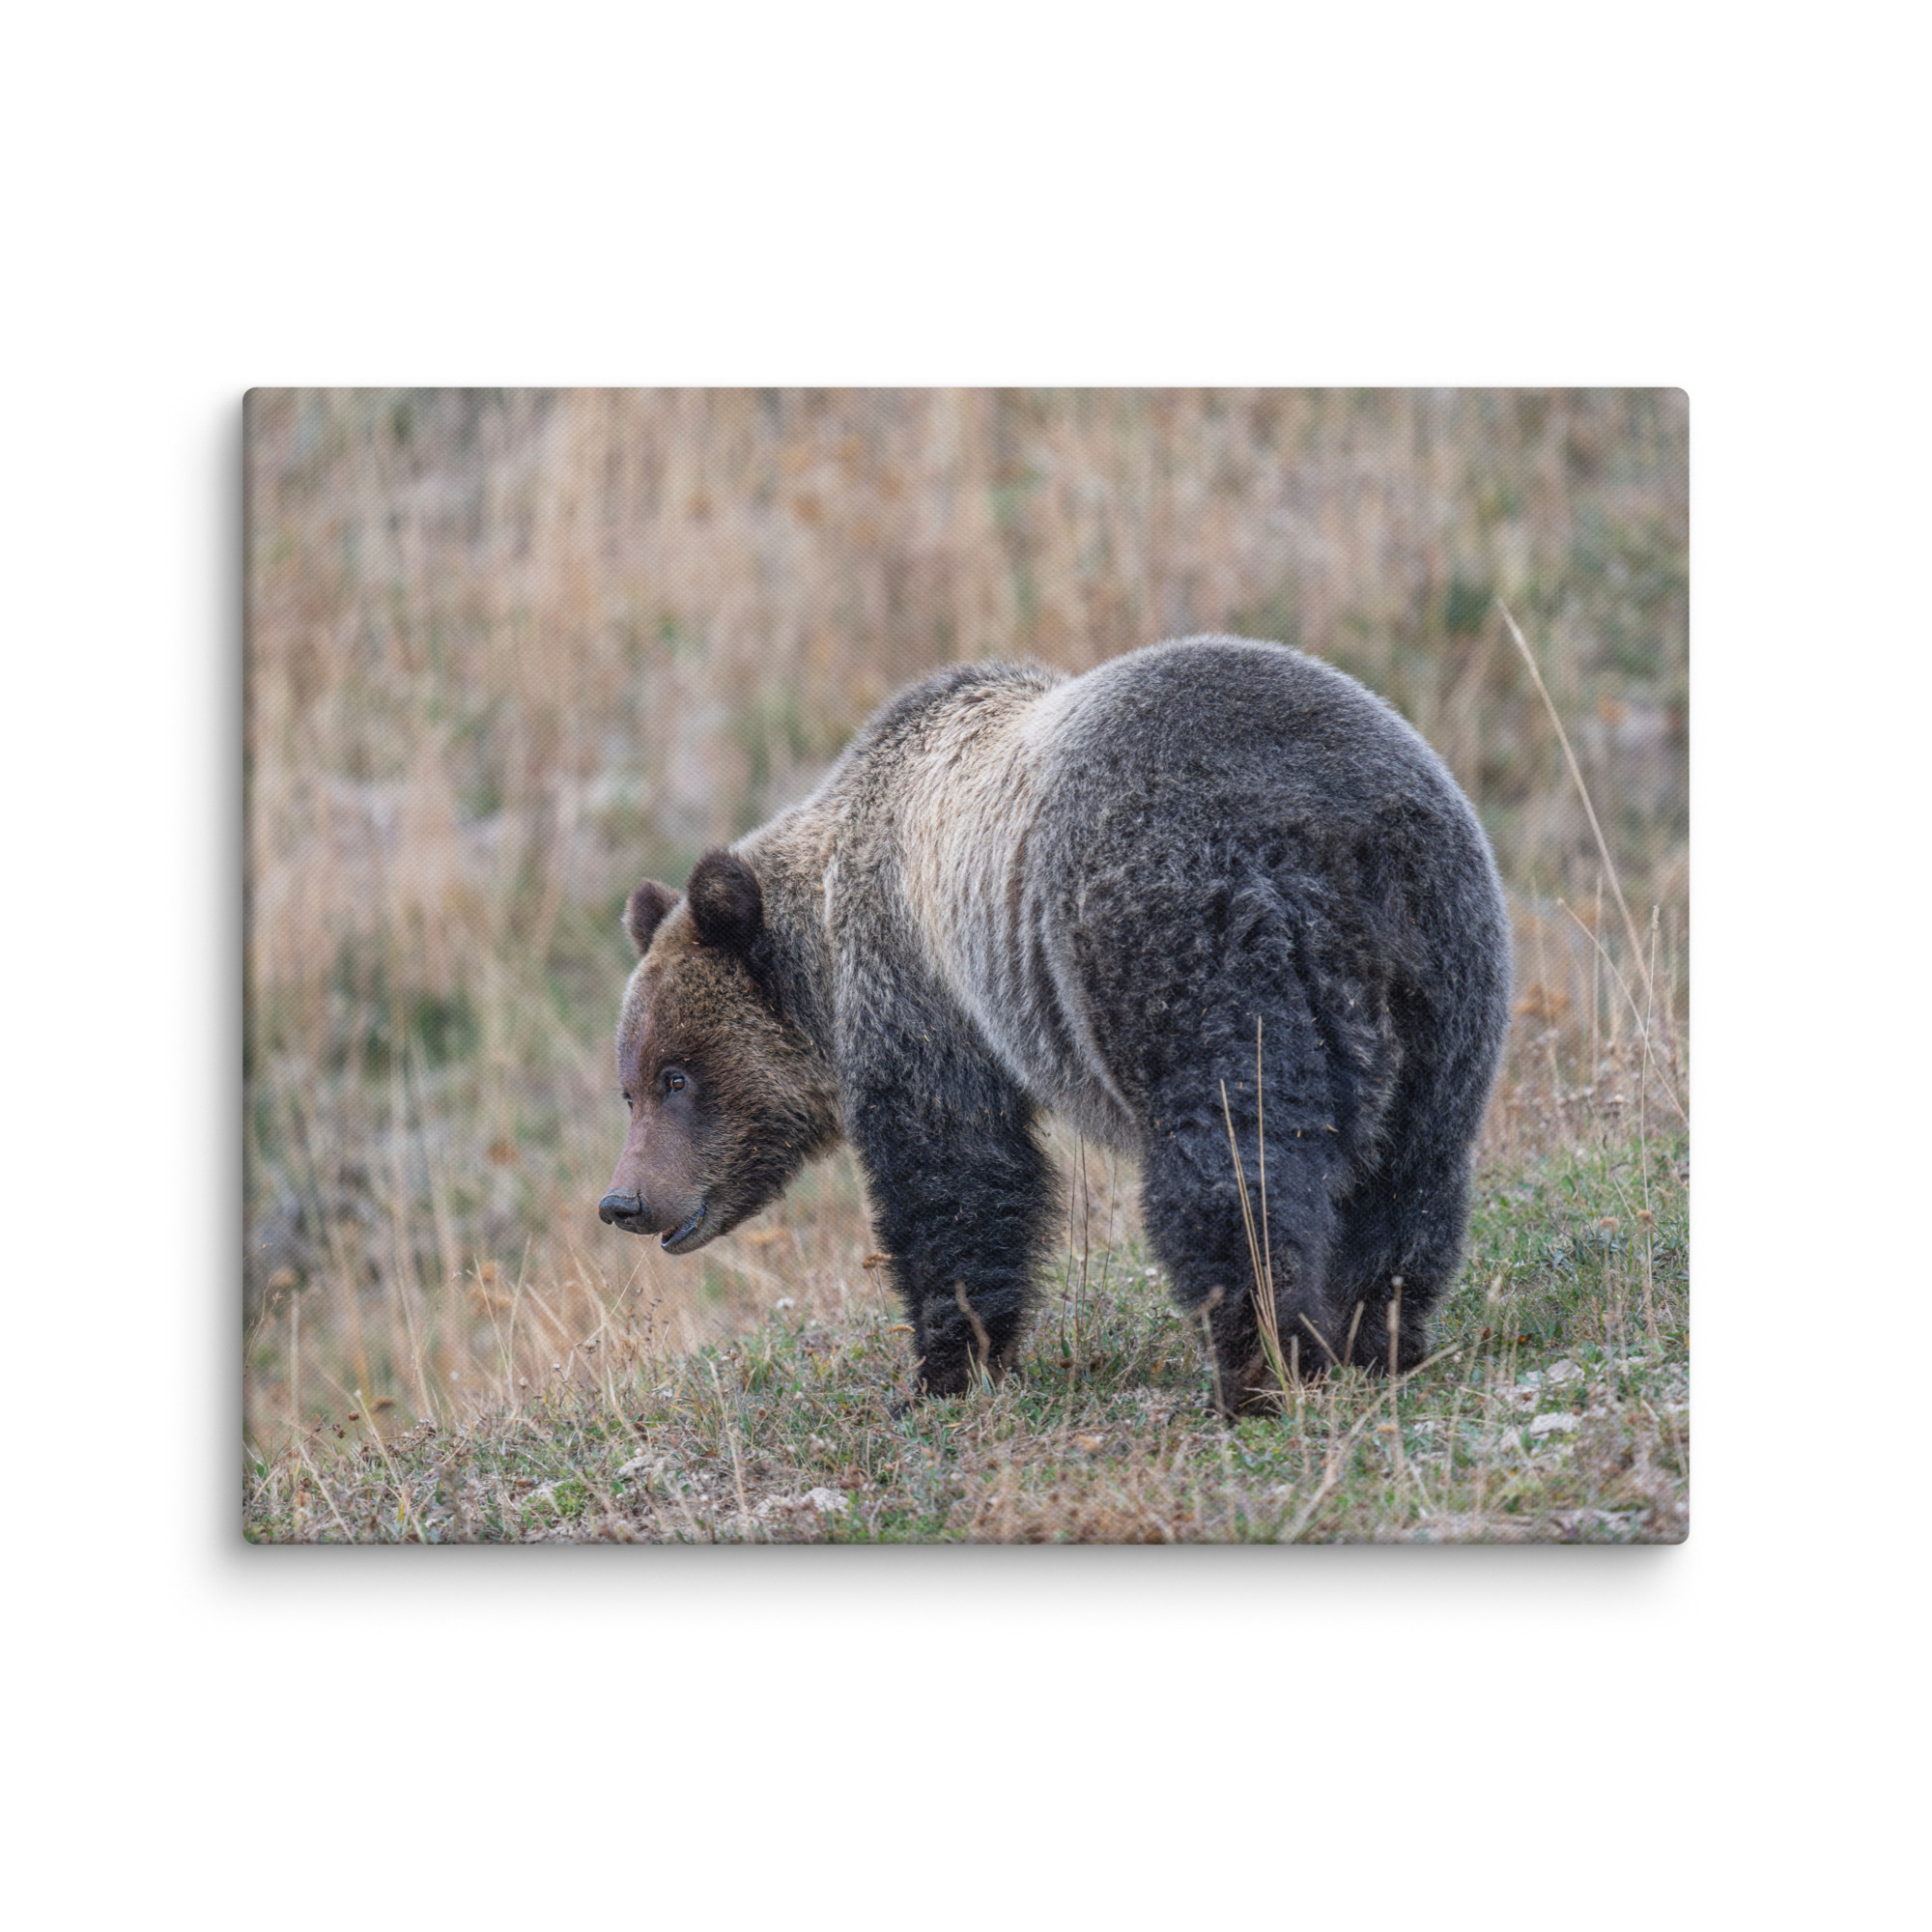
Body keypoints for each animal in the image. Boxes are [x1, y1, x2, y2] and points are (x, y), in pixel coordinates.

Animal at [599, 635, 1512, 1411]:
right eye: (630, 1087)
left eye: (677, 1076)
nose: (624, 1201)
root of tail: (1332, 836)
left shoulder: (921, 988)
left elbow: (955, 1174)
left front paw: (942, 1369)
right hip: (1443, 966)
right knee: (1412, 1169)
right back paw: (1377, 1338)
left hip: (1186, 941)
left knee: (1234, 1164)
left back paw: (1257, 1369)